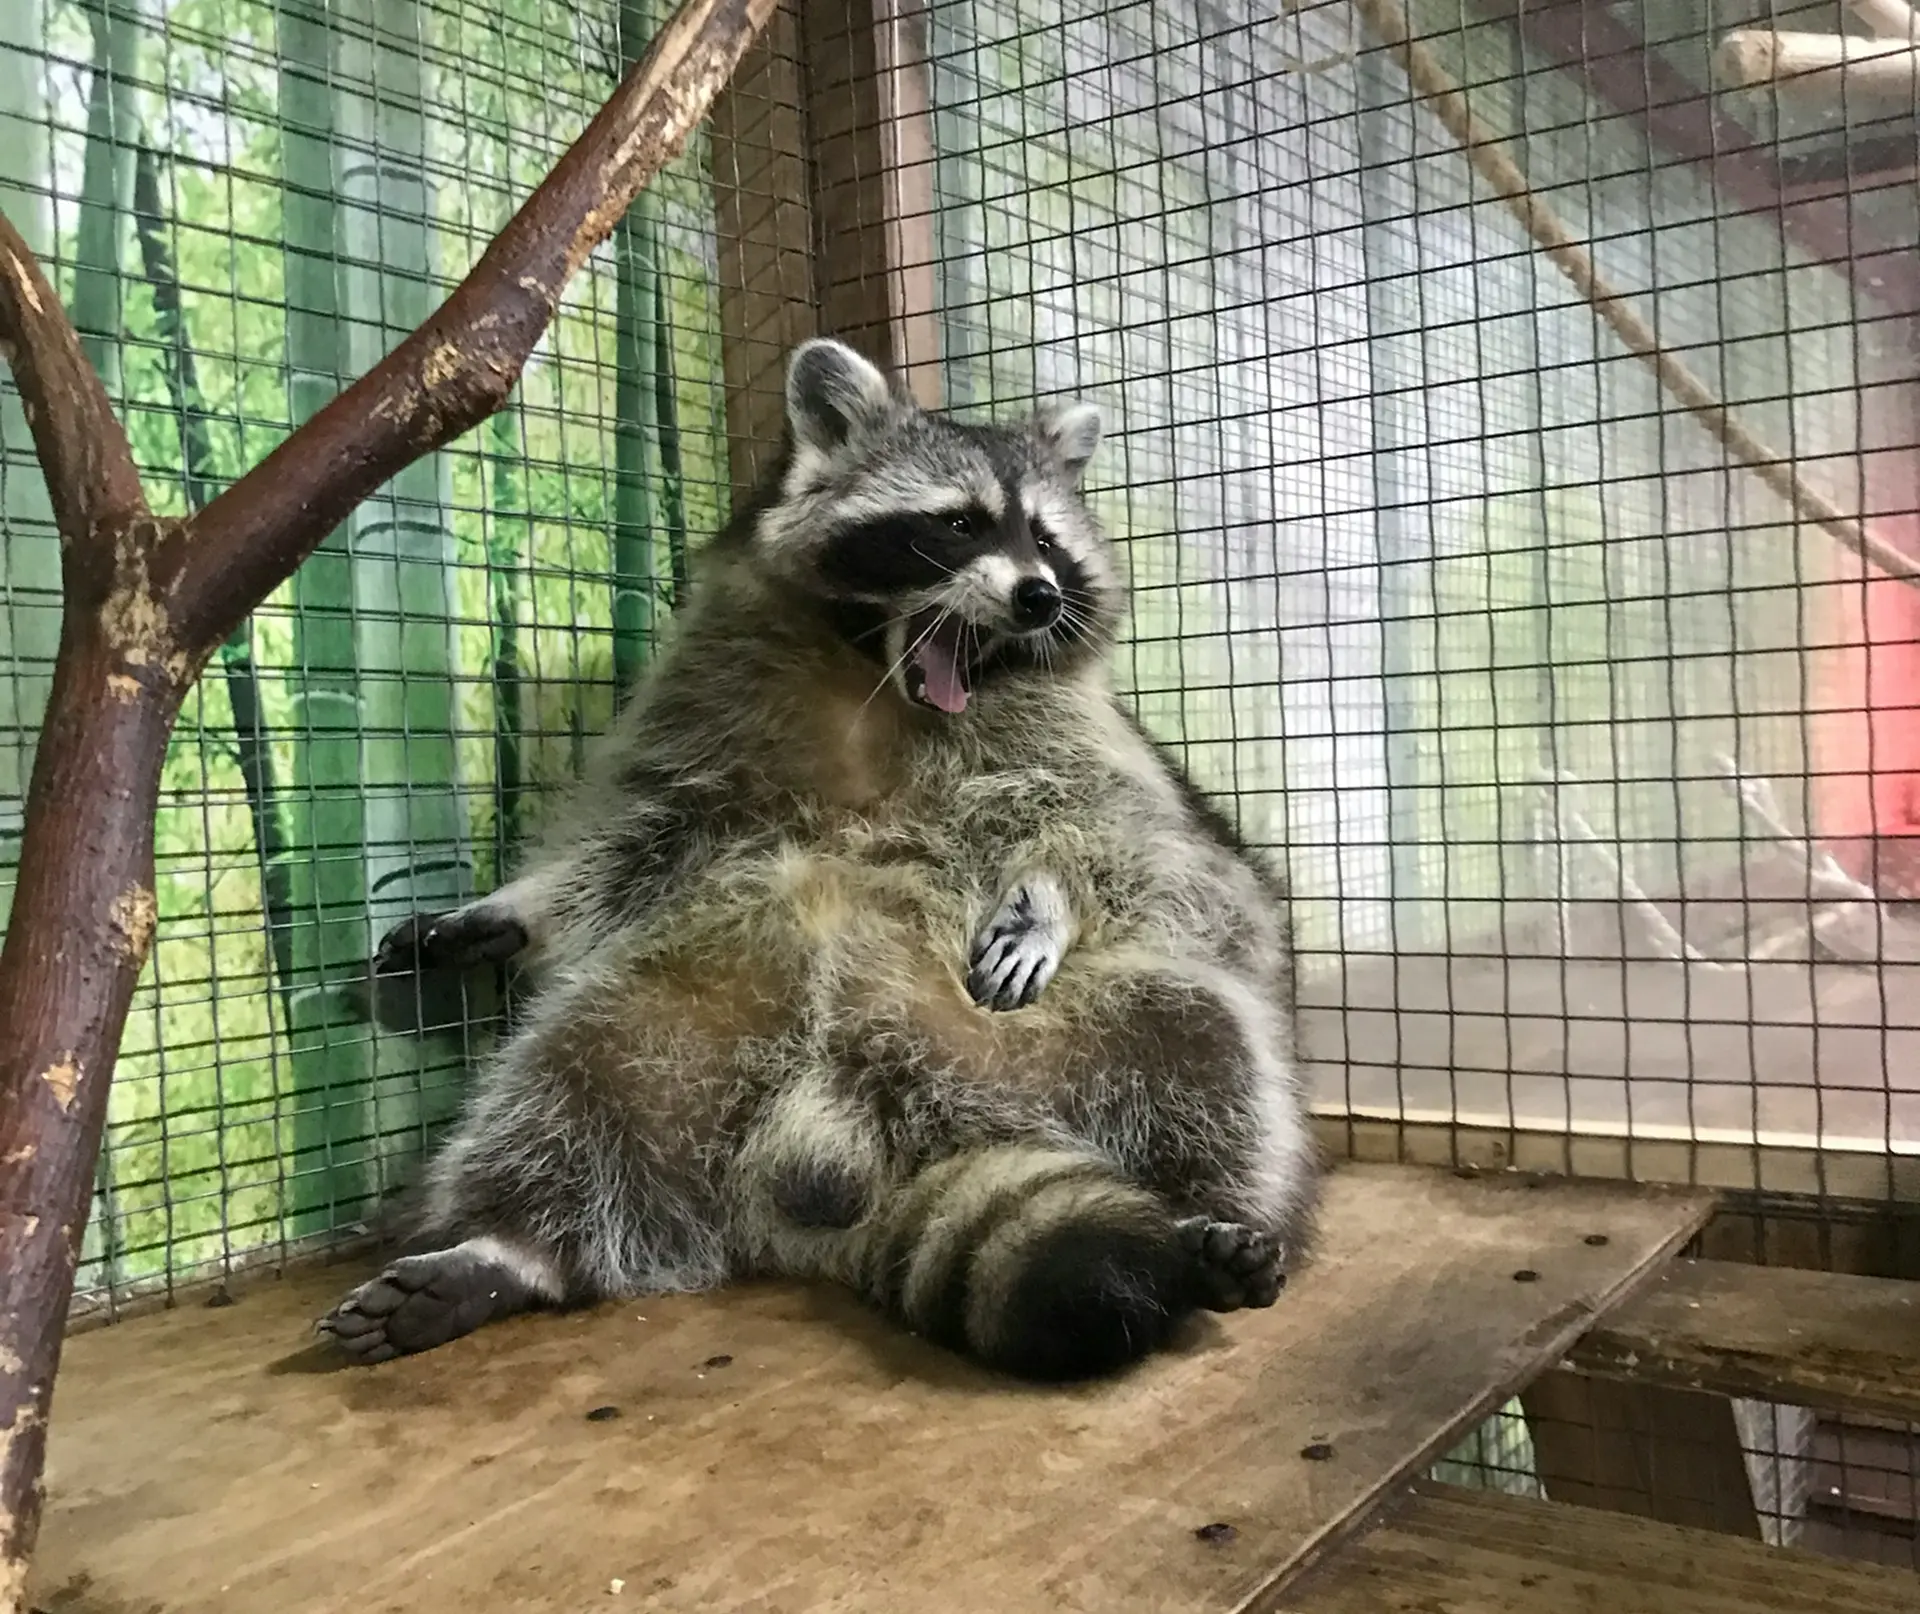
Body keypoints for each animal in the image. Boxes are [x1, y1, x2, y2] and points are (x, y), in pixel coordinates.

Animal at [319, 337, 1317, 1382]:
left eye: (1047, 540)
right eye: (957, 524)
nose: (1038, 596)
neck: (880, 680)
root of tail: (863, 1142)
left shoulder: (1094, 742)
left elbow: (1146, 847)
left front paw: (1045, 899)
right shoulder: (704, 710)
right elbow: (636, 842)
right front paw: (512, 908)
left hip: (1059, 1048)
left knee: (1204, 1047)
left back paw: (1209, 1217)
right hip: (699, 1009)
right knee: (574, 1084)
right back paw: (512, 1245)